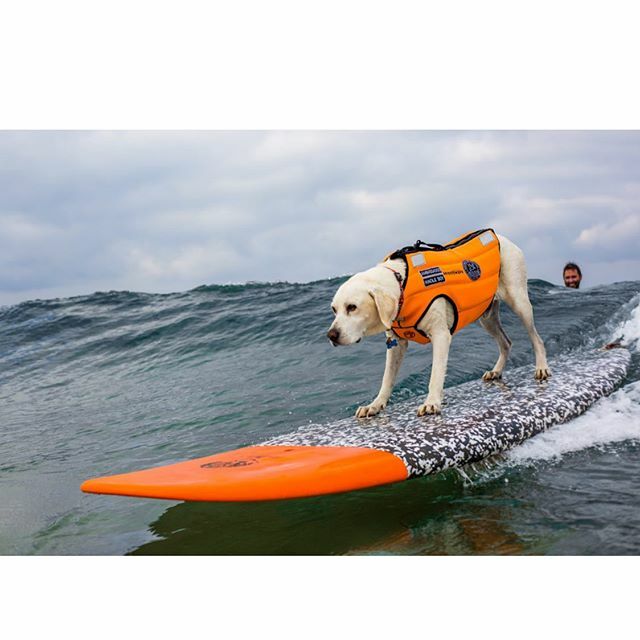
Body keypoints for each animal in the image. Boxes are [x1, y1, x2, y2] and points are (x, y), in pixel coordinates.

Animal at [328, 232, 548, 418]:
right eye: (334, 309)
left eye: (352, 307)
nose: (331, 335)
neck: (401, 284)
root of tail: (502, 237)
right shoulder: (396, 345)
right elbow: (387, 379)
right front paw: (375, 405)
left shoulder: (441, 335)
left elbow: (435, 374)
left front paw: (432, 402)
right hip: (486, 317)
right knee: (506, 343)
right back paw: (496, 371)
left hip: (519, 301)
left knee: (536, 338)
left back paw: (542, 368)